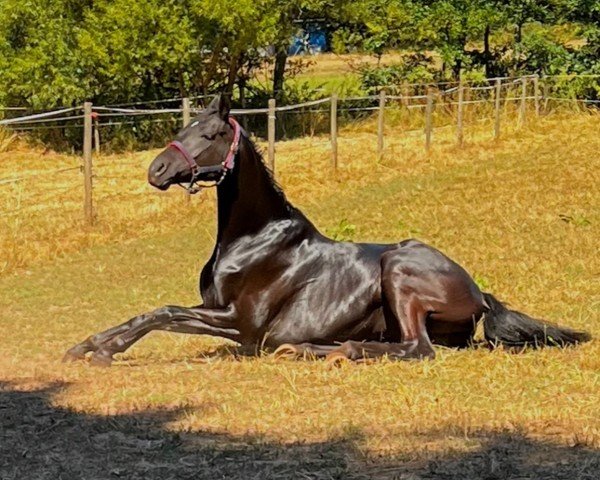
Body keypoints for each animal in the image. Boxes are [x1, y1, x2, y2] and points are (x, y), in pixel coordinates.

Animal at [63, 94, 588, 368]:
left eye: (209, 135)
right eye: (183, 127)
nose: (156, 170)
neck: (254, 238)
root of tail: (481, 294)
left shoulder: (243, 326)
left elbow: (162, 312)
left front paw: (103, 351)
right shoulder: (220, 314)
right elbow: (148, 312)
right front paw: (84, 345)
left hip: (398, 269)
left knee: (417, 349)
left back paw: (333, 350)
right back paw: (311, 348)